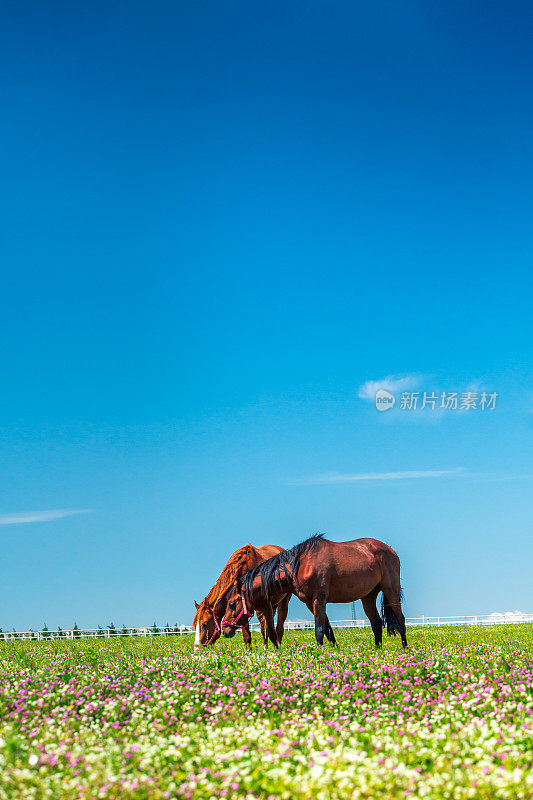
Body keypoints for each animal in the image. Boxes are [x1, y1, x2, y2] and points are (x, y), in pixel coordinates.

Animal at [220, 532, 408, 648]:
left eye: (232, 603)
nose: (225, 629)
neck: (300, 565)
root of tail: (391, 550)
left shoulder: (319, 598)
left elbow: (319, 630)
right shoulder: (310, 602)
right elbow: (328, 629)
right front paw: (335, 650)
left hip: (391, 590)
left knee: (400, 620)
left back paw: (405, 648)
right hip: (368, 596)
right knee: (376, 623)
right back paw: (377, 650)